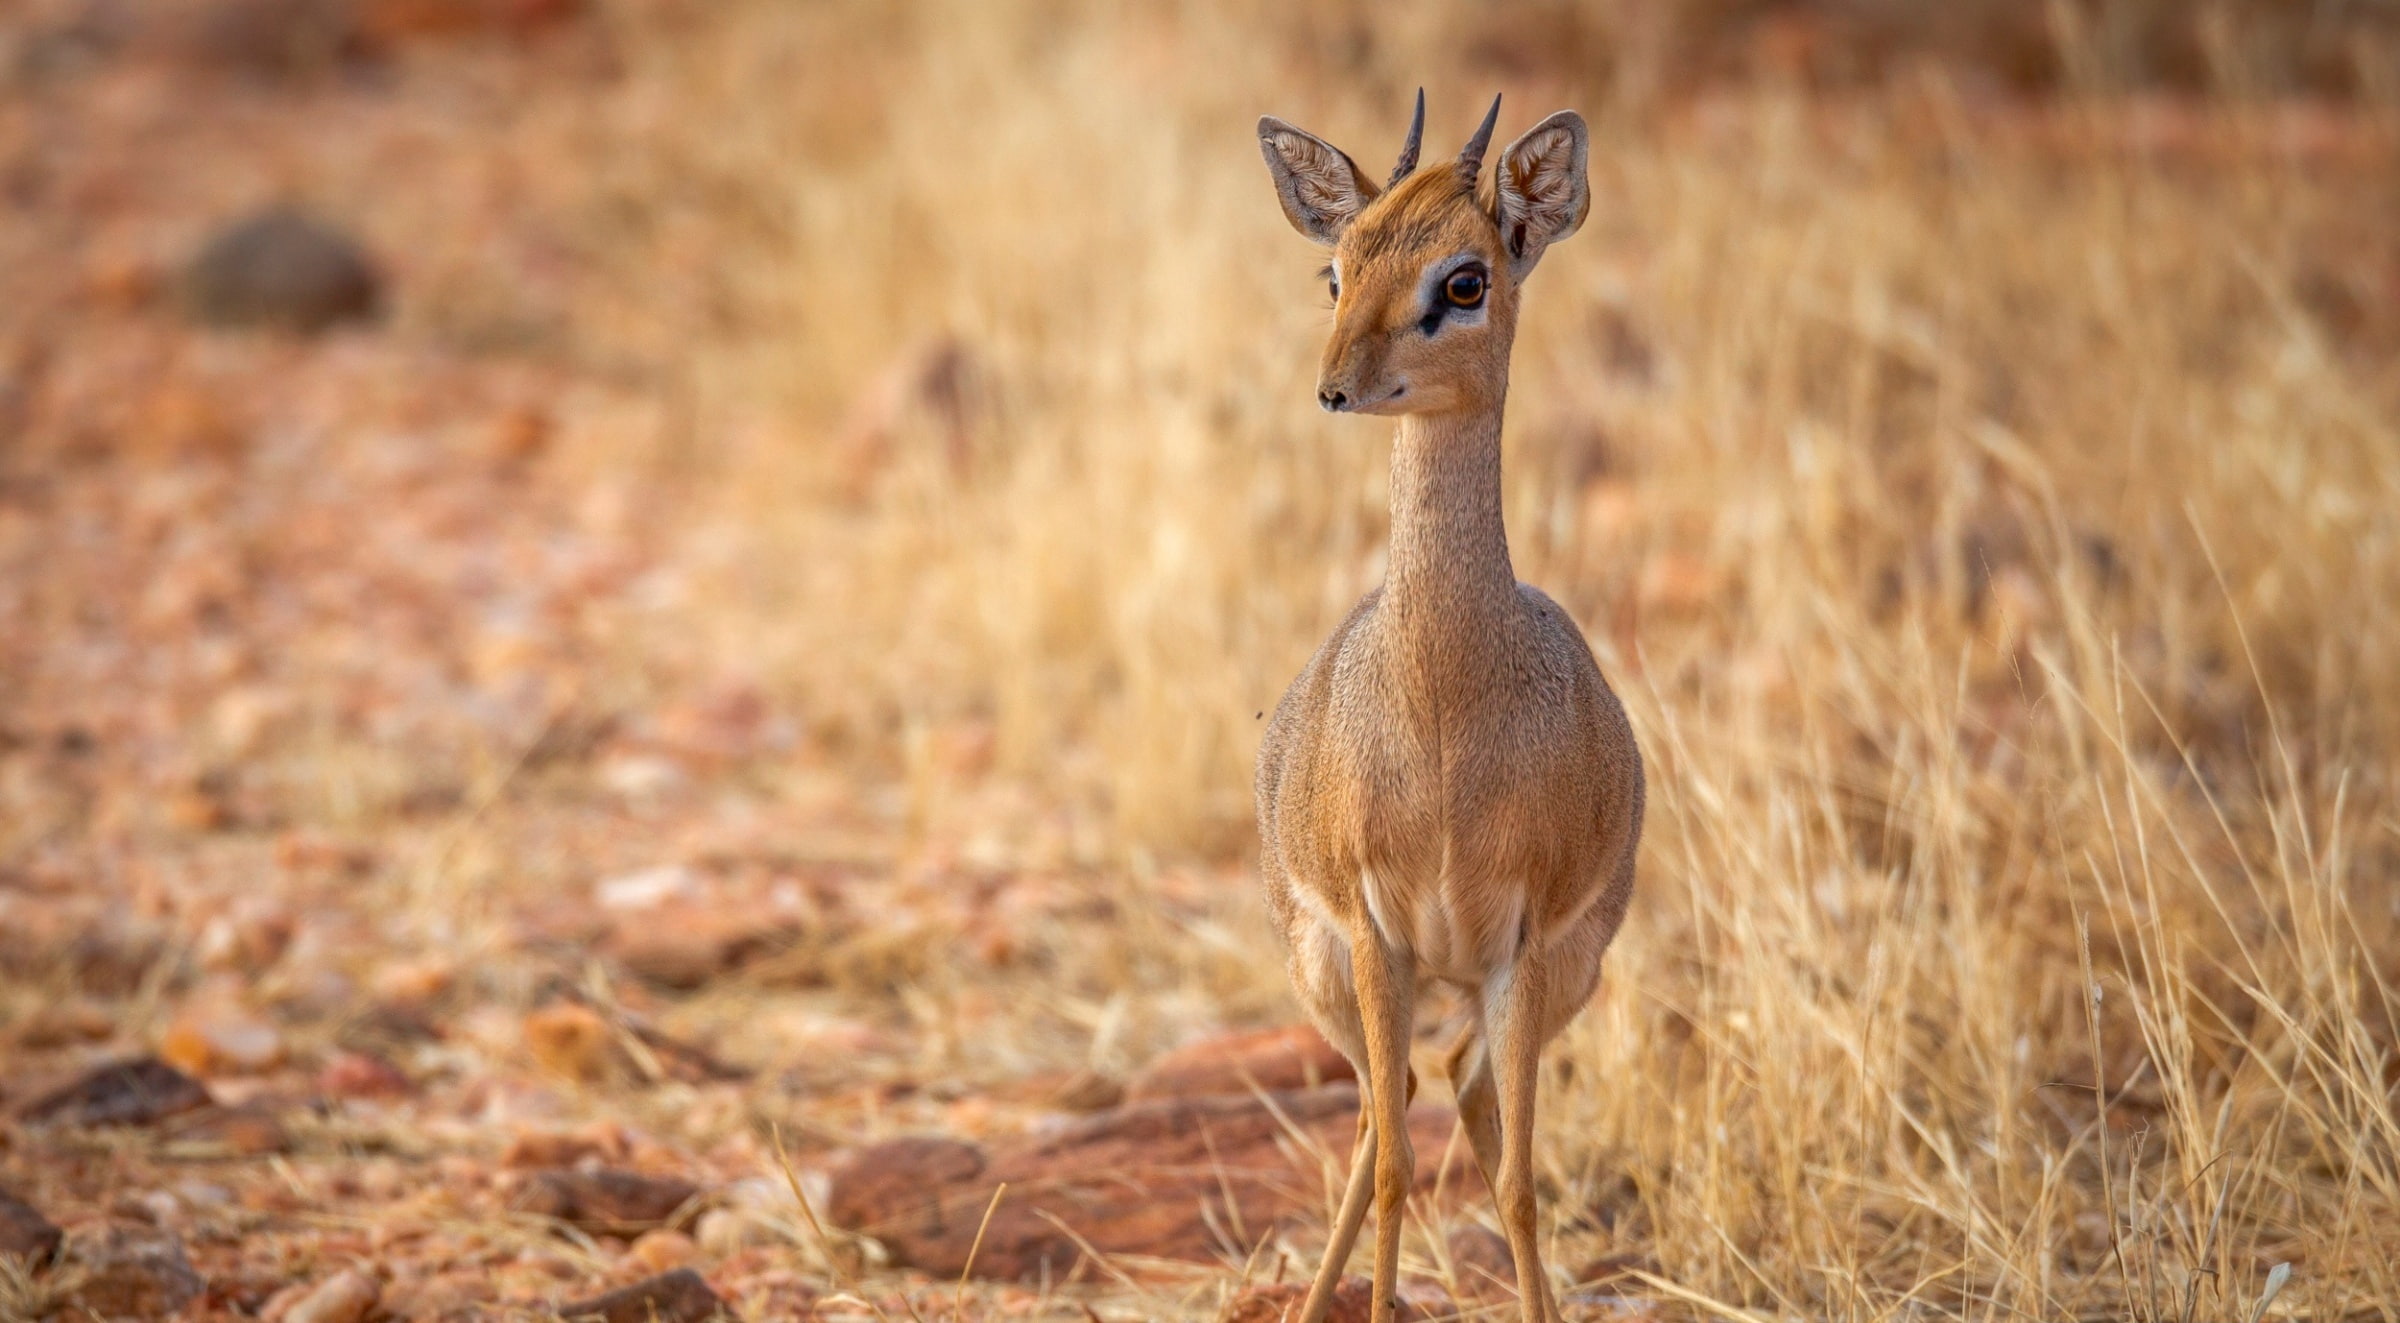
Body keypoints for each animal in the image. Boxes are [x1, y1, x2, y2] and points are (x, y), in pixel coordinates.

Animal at [1252, 91, 1645, 1323]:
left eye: (1465, 280)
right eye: (1336, 268)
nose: (1335, 386)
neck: (1443, 715)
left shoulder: (1521, 946)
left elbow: (1515, 1181)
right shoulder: (1377, 937)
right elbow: (1392, 1168)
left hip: (1546, 976)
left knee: (1458, 1090)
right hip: (1331, 970)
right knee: (1383, 1117)